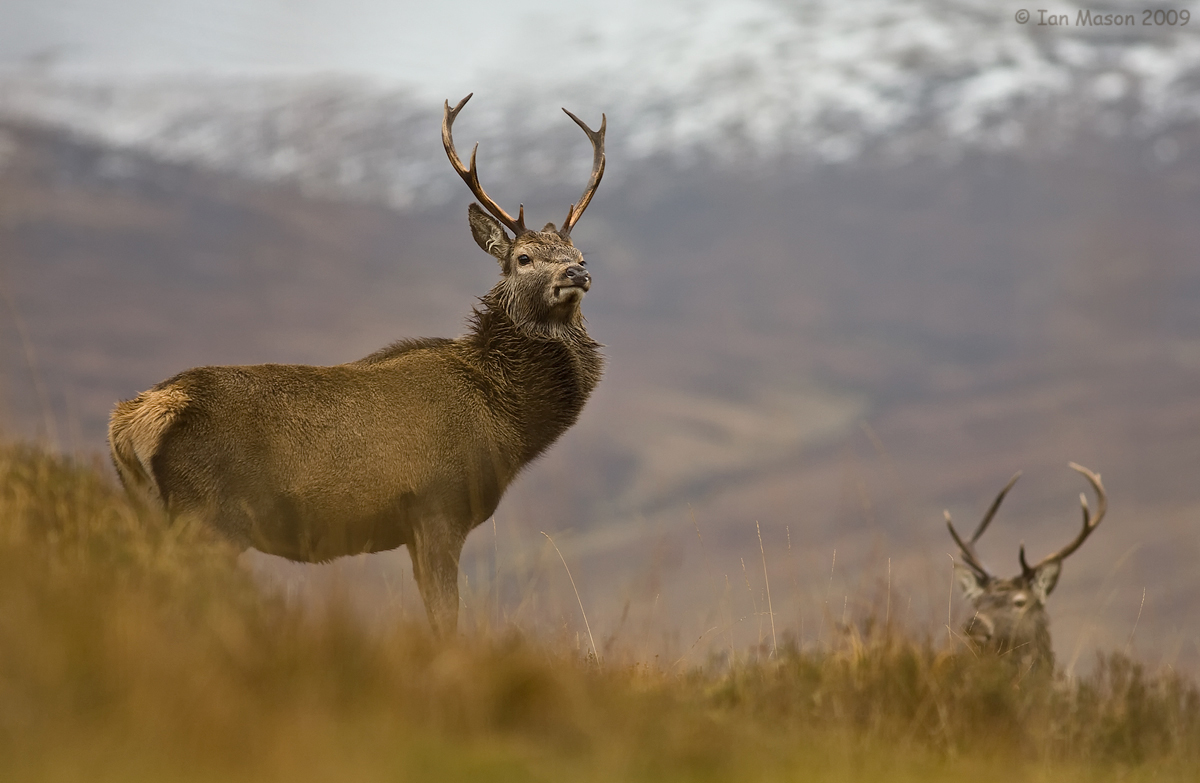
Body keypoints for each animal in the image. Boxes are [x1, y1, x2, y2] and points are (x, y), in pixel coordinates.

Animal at [108, 94, 606, 636]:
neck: (506, 421)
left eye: (579, 252)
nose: (577, 273)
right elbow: (445, 620)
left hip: (150, 510)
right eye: (522, 258)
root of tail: (131, 421)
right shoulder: (439, 506)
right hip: (206, 515)